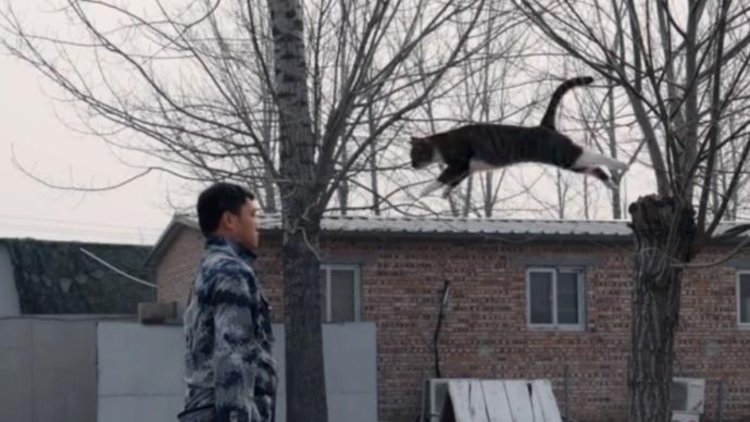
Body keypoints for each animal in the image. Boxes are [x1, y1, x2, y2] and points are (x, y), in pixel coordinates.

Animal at [410, 76, 628, 198]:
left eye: (416, 154)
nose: (412, 165)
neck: (441, 143)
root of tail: (544, 125)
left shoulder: (459, 164)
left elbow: (442, 178)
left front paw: (424, 191)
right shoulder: (467, 169)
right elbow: (453, 182)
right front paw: (445, 194)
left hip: (564, 154)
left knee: (596, 156)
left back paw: (622, 164)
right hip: (569, 163)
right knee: (595, 168)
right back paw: (612, 185)